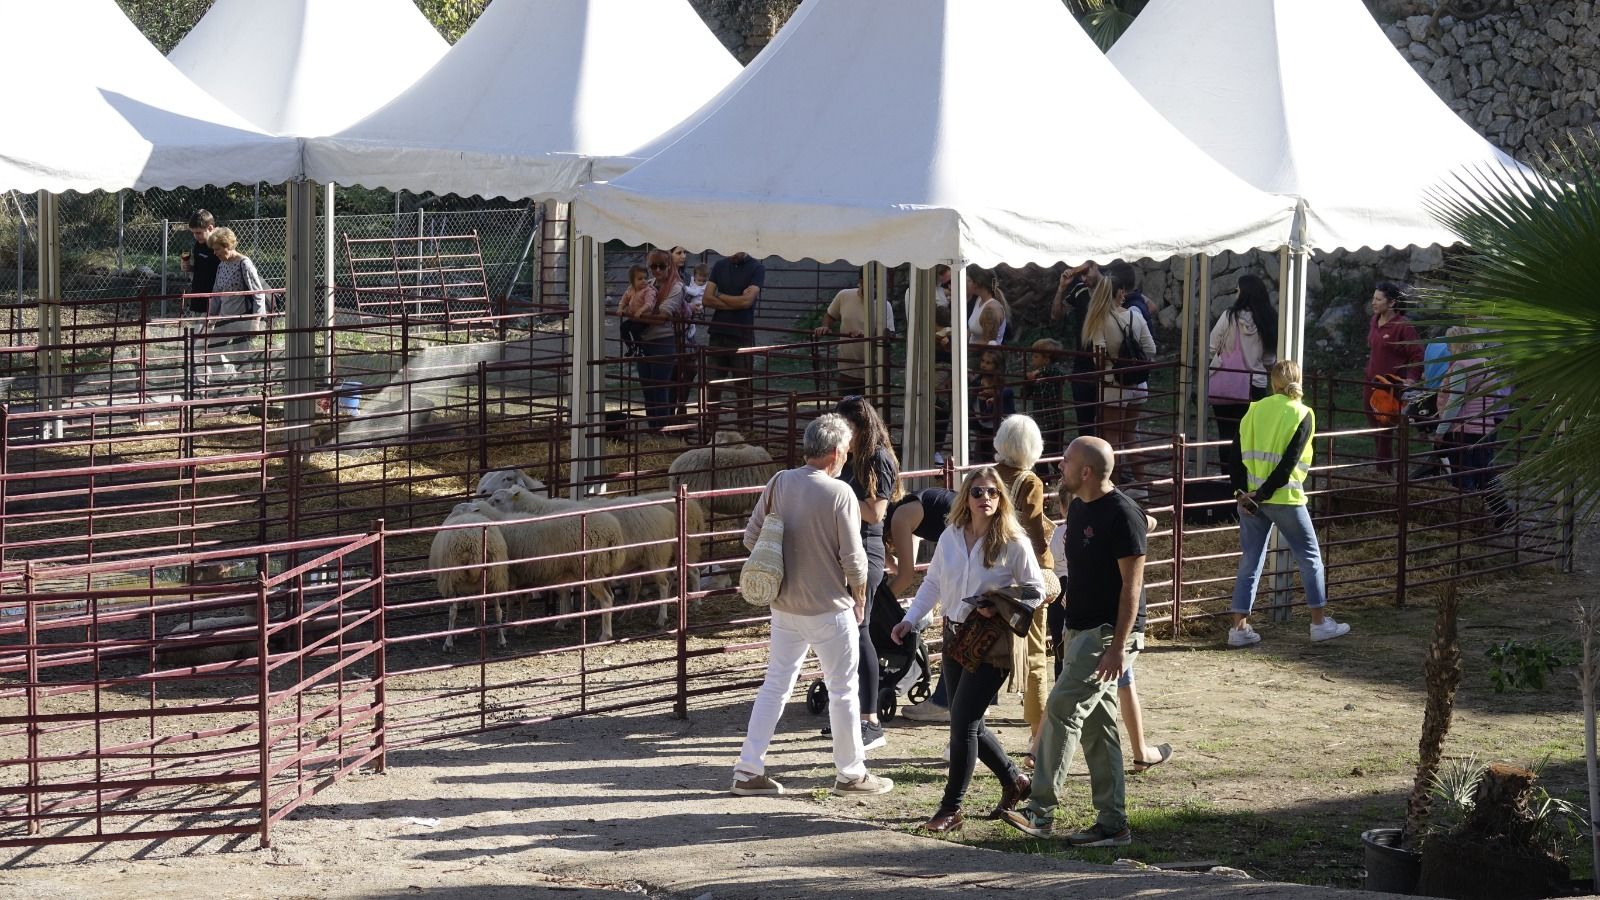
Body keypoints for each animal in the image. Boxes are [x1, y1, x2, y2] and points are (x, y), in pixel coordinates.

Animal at [428, 496, 508, 650]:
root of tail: (473, 541)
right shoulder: (478, 586)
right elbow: (478, 604)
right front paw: (478, 628)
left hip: (451, 577)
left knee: (453, 611)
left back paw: (448, 642)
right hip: (495, 575)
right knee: (498, 610)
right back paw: (501, 640)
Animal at [480, 483, 624, 637]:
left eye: (498, 500)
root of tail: (613, 532)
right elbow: (561, 593)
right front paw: (563, 620)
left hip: (591, 569)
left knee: (606, 598)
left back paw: (605, 633)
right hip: (601, 569)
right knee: (609, 596)